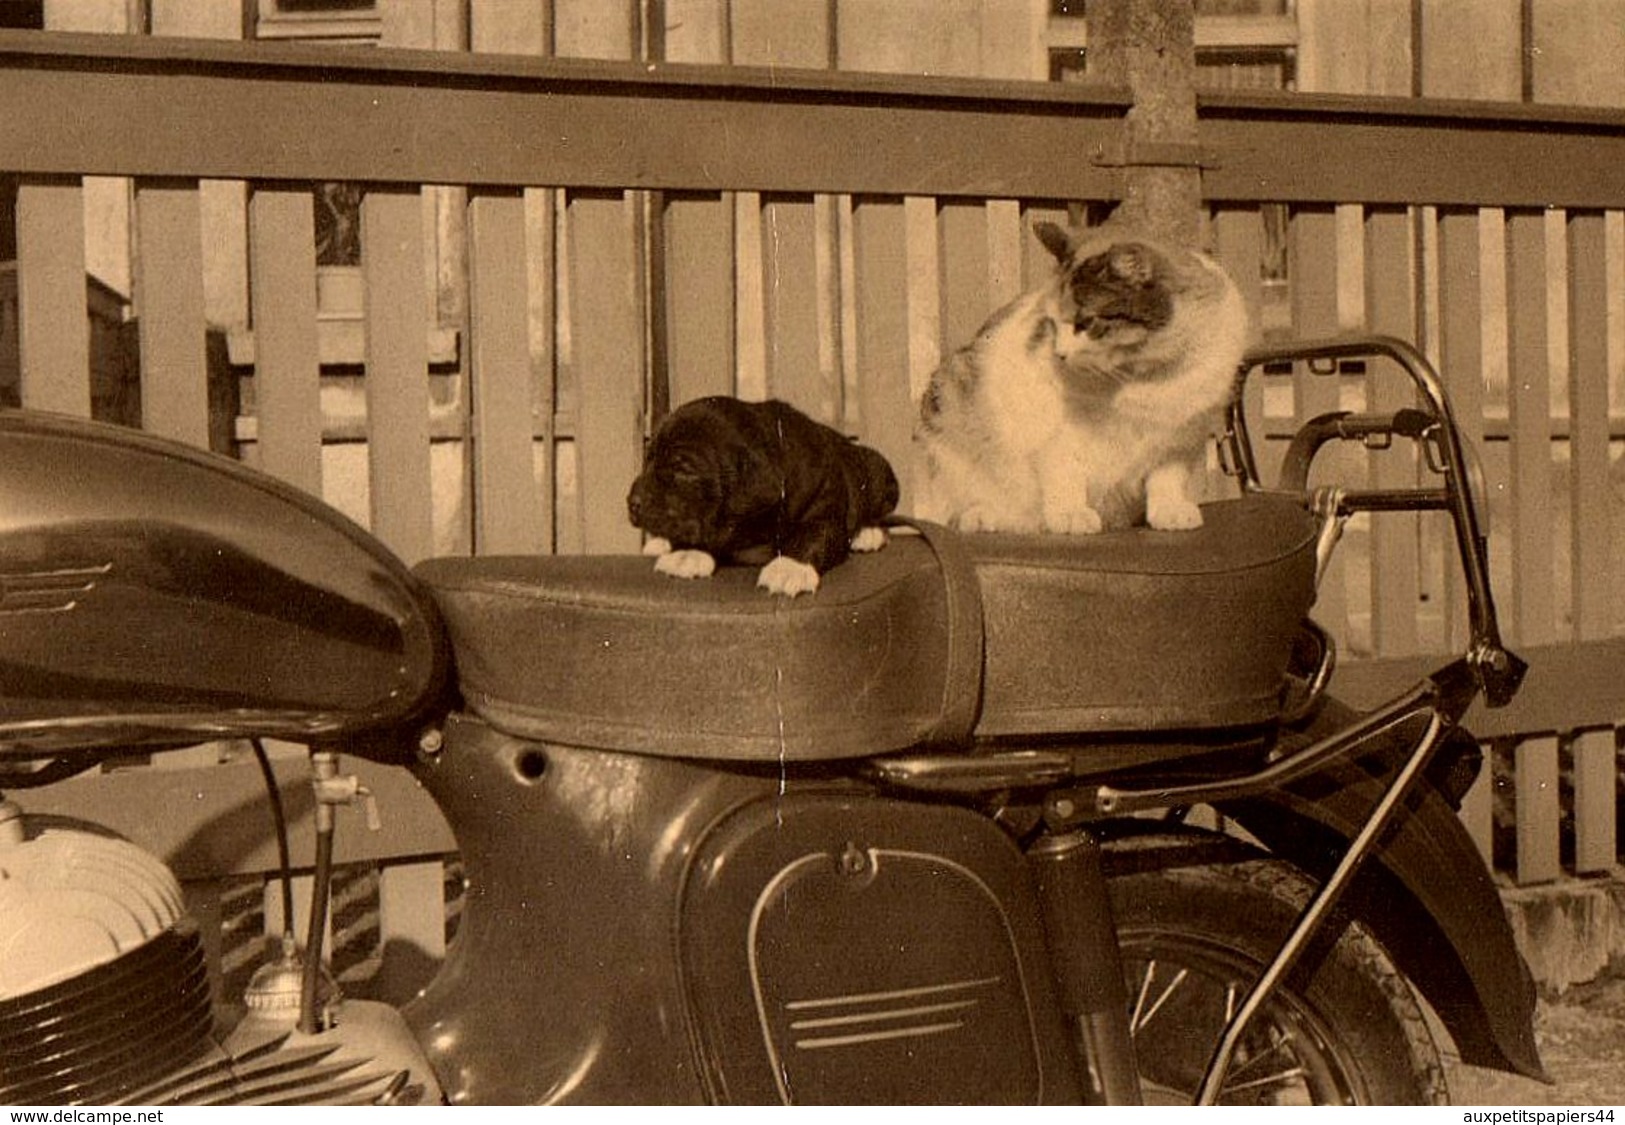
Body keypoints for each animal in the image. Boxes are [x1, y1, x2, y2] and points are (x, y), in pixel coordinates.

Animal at [624, 398, 903, 598]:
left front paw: (789, 567)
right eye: (648, 460)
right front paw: (686, 553)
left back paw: (867, 533)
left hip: (880, 474)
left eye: (683, 469)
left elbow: (813, 535)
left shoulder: (823, 509)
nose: (632, 503)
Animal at [916, 222, 1241, 539]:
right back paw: (983, 516)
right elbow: (1066, 474)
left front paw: (1171, 511)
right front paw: (1070, 514)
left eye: (1085, 323)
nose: (1059, 354)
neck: (1144, 377)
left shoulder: (1179, 440)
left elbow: (1167, 478)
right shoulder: (1056, 434)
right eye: (1051, 323)